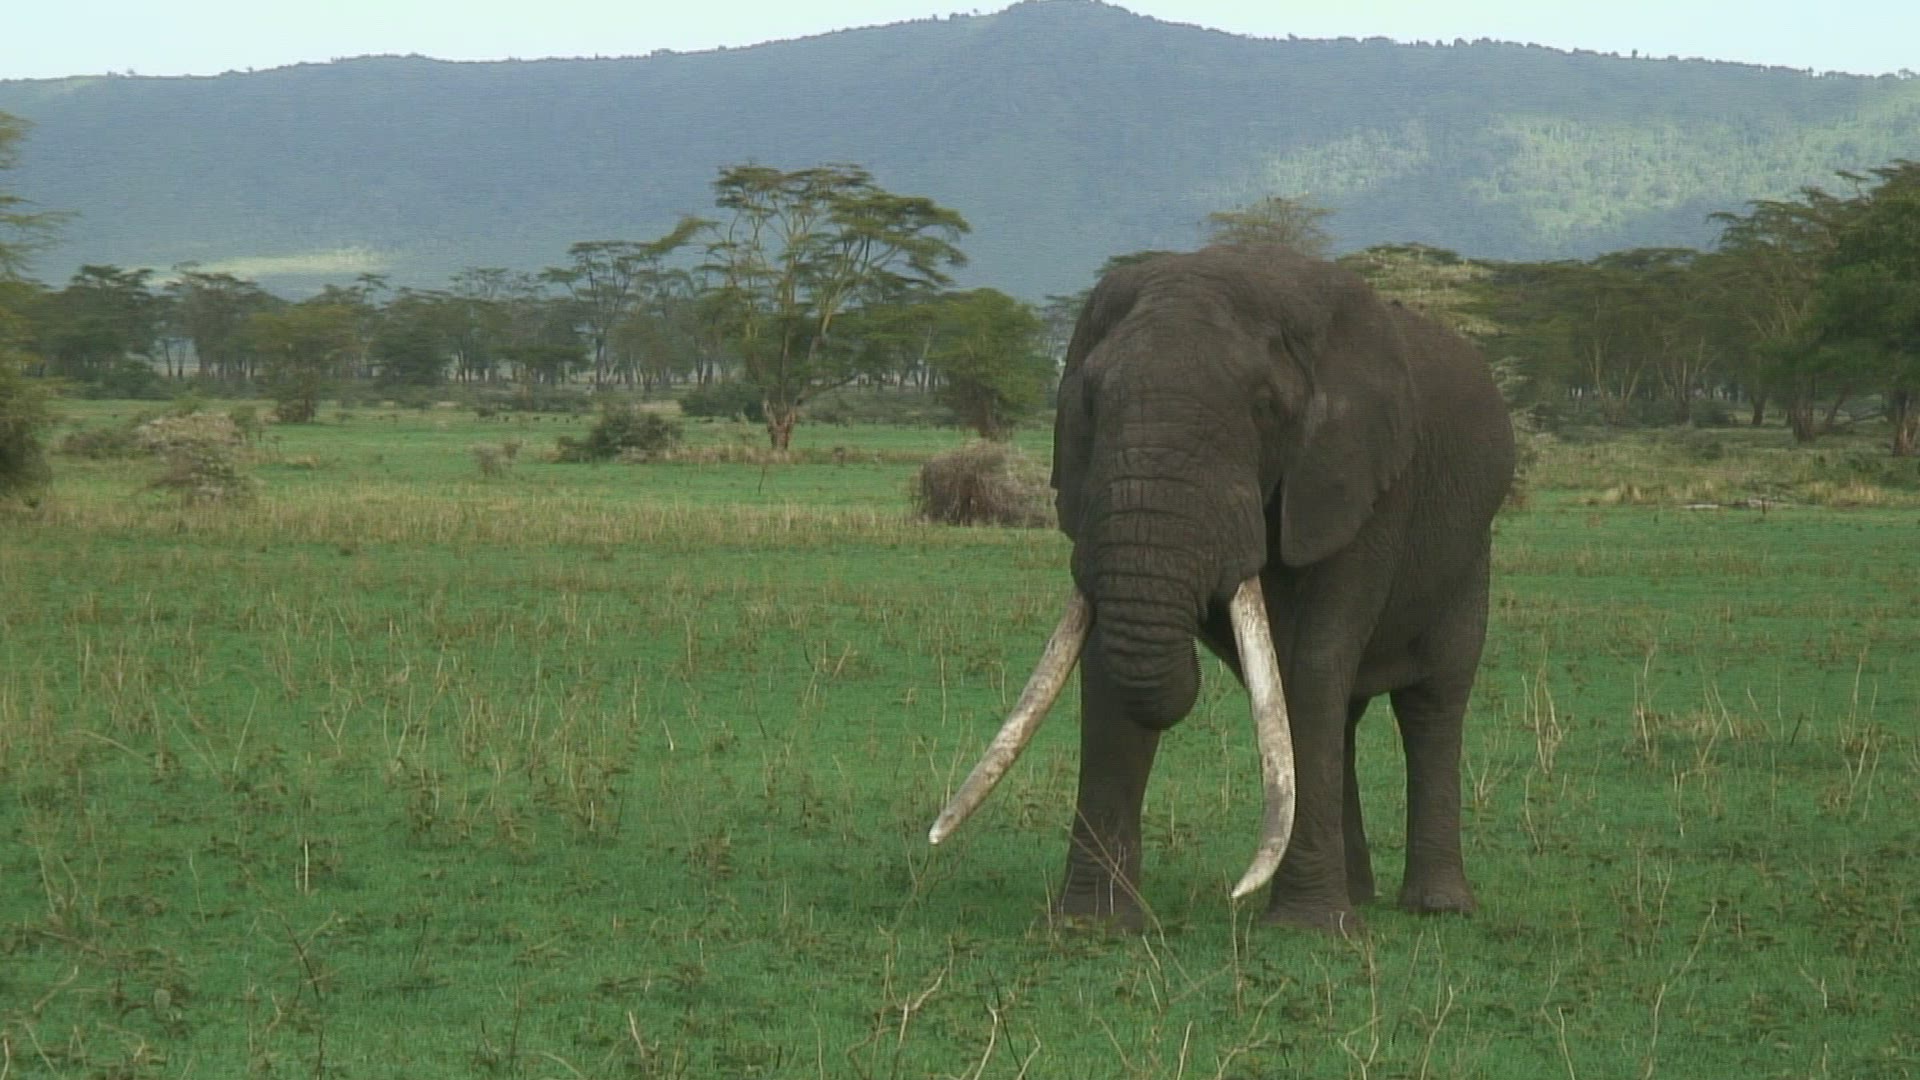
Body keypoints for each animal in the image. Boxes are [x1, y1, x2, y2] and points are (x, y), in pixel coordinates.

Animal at [930, 244, 1515, 933]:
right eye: (1091, 402)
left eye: (1264, 405)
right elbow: (1105, 666)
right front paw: (1092, 927)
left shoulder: (1364, 484)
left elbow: (1314, 662)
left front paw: (1308, 931)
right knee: (1342, 715)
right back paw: (1360, 895)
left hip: (1470, 551)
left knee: (1431, 701)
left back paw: (1435, 908)